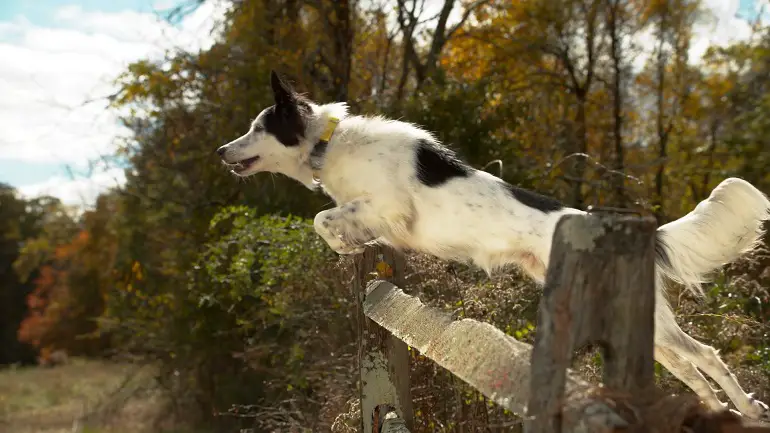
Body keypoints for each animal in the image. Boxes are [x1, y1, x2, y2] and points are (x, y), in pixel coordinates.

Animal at [216, 71, 768, 418]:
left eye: (258, 128)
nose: (221, 150)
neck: (326, 143)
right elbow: (334, 221)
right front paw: (352, 249)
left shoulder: (388, 207)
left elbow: (323, 219)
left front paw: (345, 248)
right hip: (637, 324)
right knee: (689, 367)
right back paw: (718, 409)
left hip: (648, 321)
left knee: (708, 355)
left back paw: (745, 408)